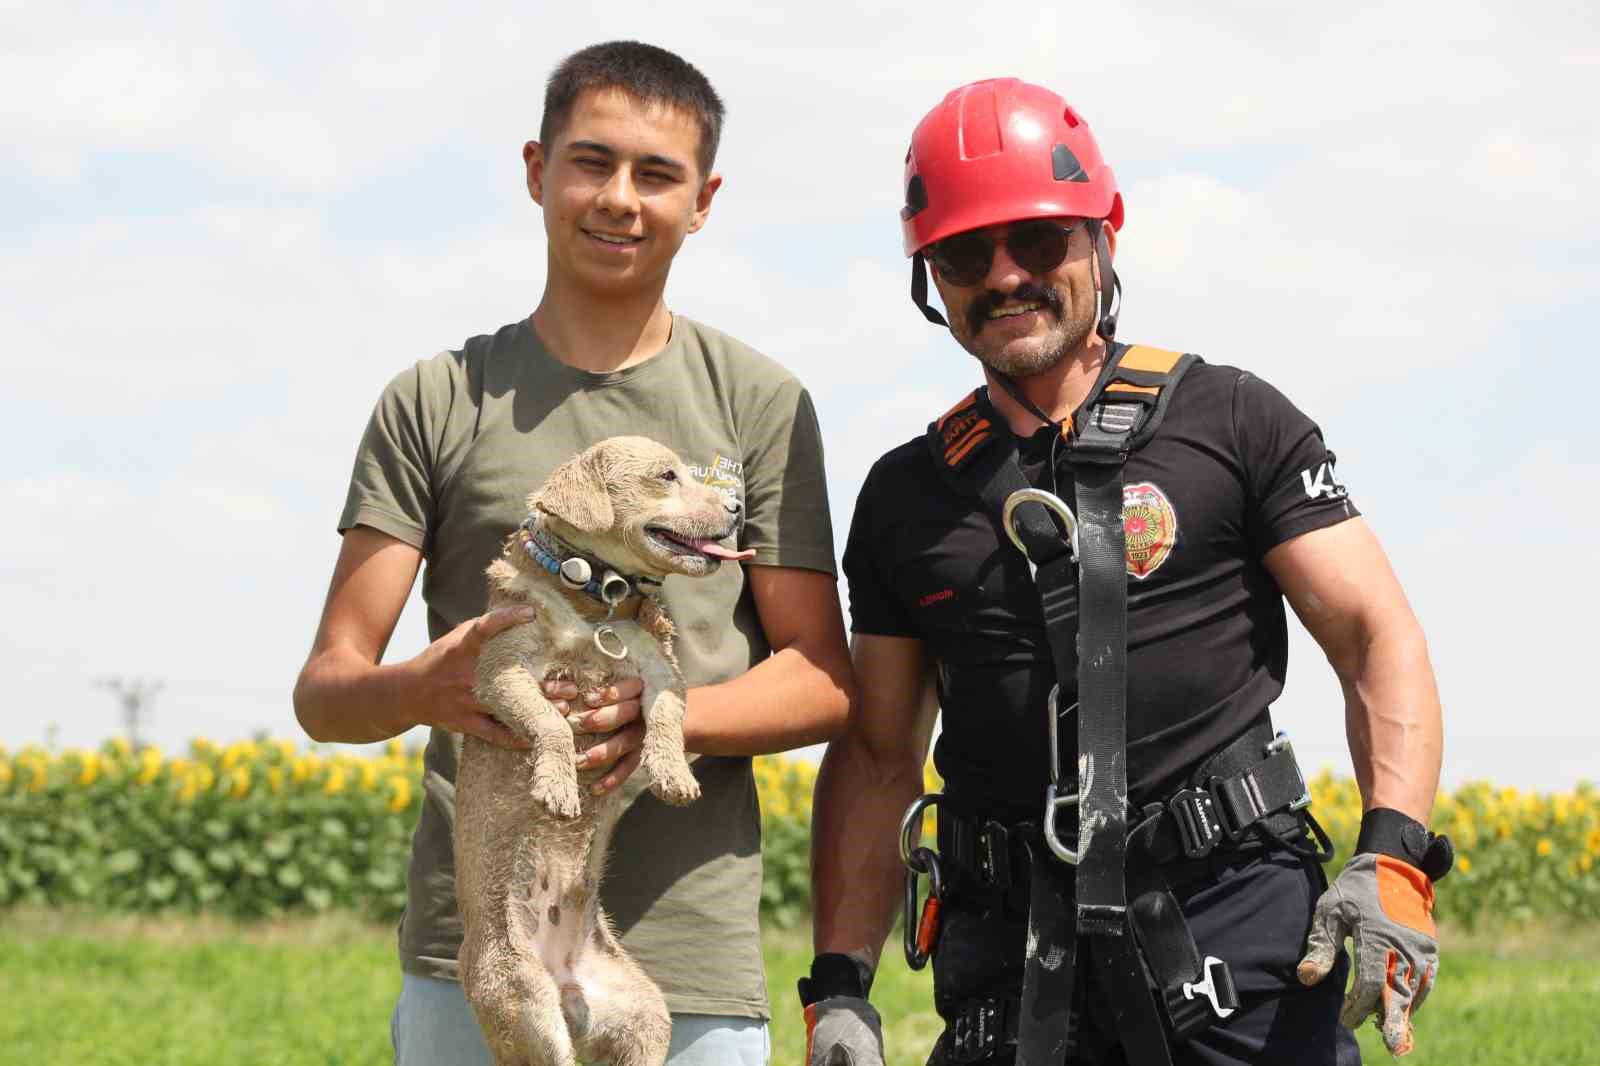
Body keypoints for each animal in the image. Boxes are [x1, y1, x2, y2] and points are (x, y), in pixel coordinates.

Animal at [451, 432, 748, 1062]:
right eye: (667, 476)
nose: (736, 509)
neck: (595, 602)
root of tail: (564, 977)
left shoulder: (660, 671)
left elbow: (668, 717)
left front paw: (671, 773)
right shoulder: (501, 672)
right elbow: (551, 723)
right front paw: (557, 786)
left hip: (642, 1016)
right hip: (523, 1002)